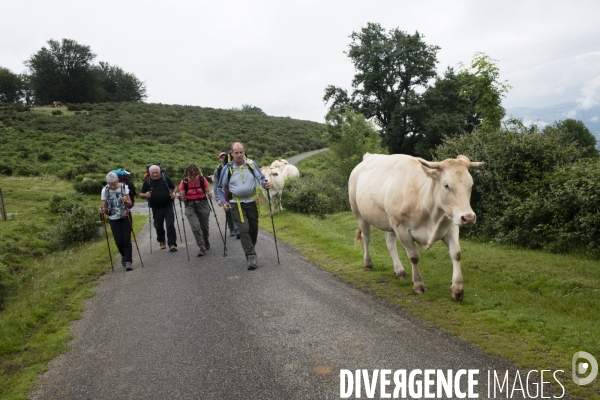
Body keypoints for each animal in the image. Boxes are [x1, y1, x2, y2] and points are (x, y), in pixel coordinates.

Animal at [350, 152, 486, 300]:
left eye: (471, 185)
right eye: (446, 185)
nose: (469, 217)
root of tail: (369, 156)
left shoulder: (451, 226)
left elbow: (456, 254)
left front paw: (457, 289)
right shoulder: (402, 229)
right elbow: (414, 257)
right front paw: (418, 285)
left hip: (390, 220)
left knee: (390, 242)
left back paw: (399, 270)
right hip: (360, 214)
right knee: (366, 238)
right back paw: (368, 263)